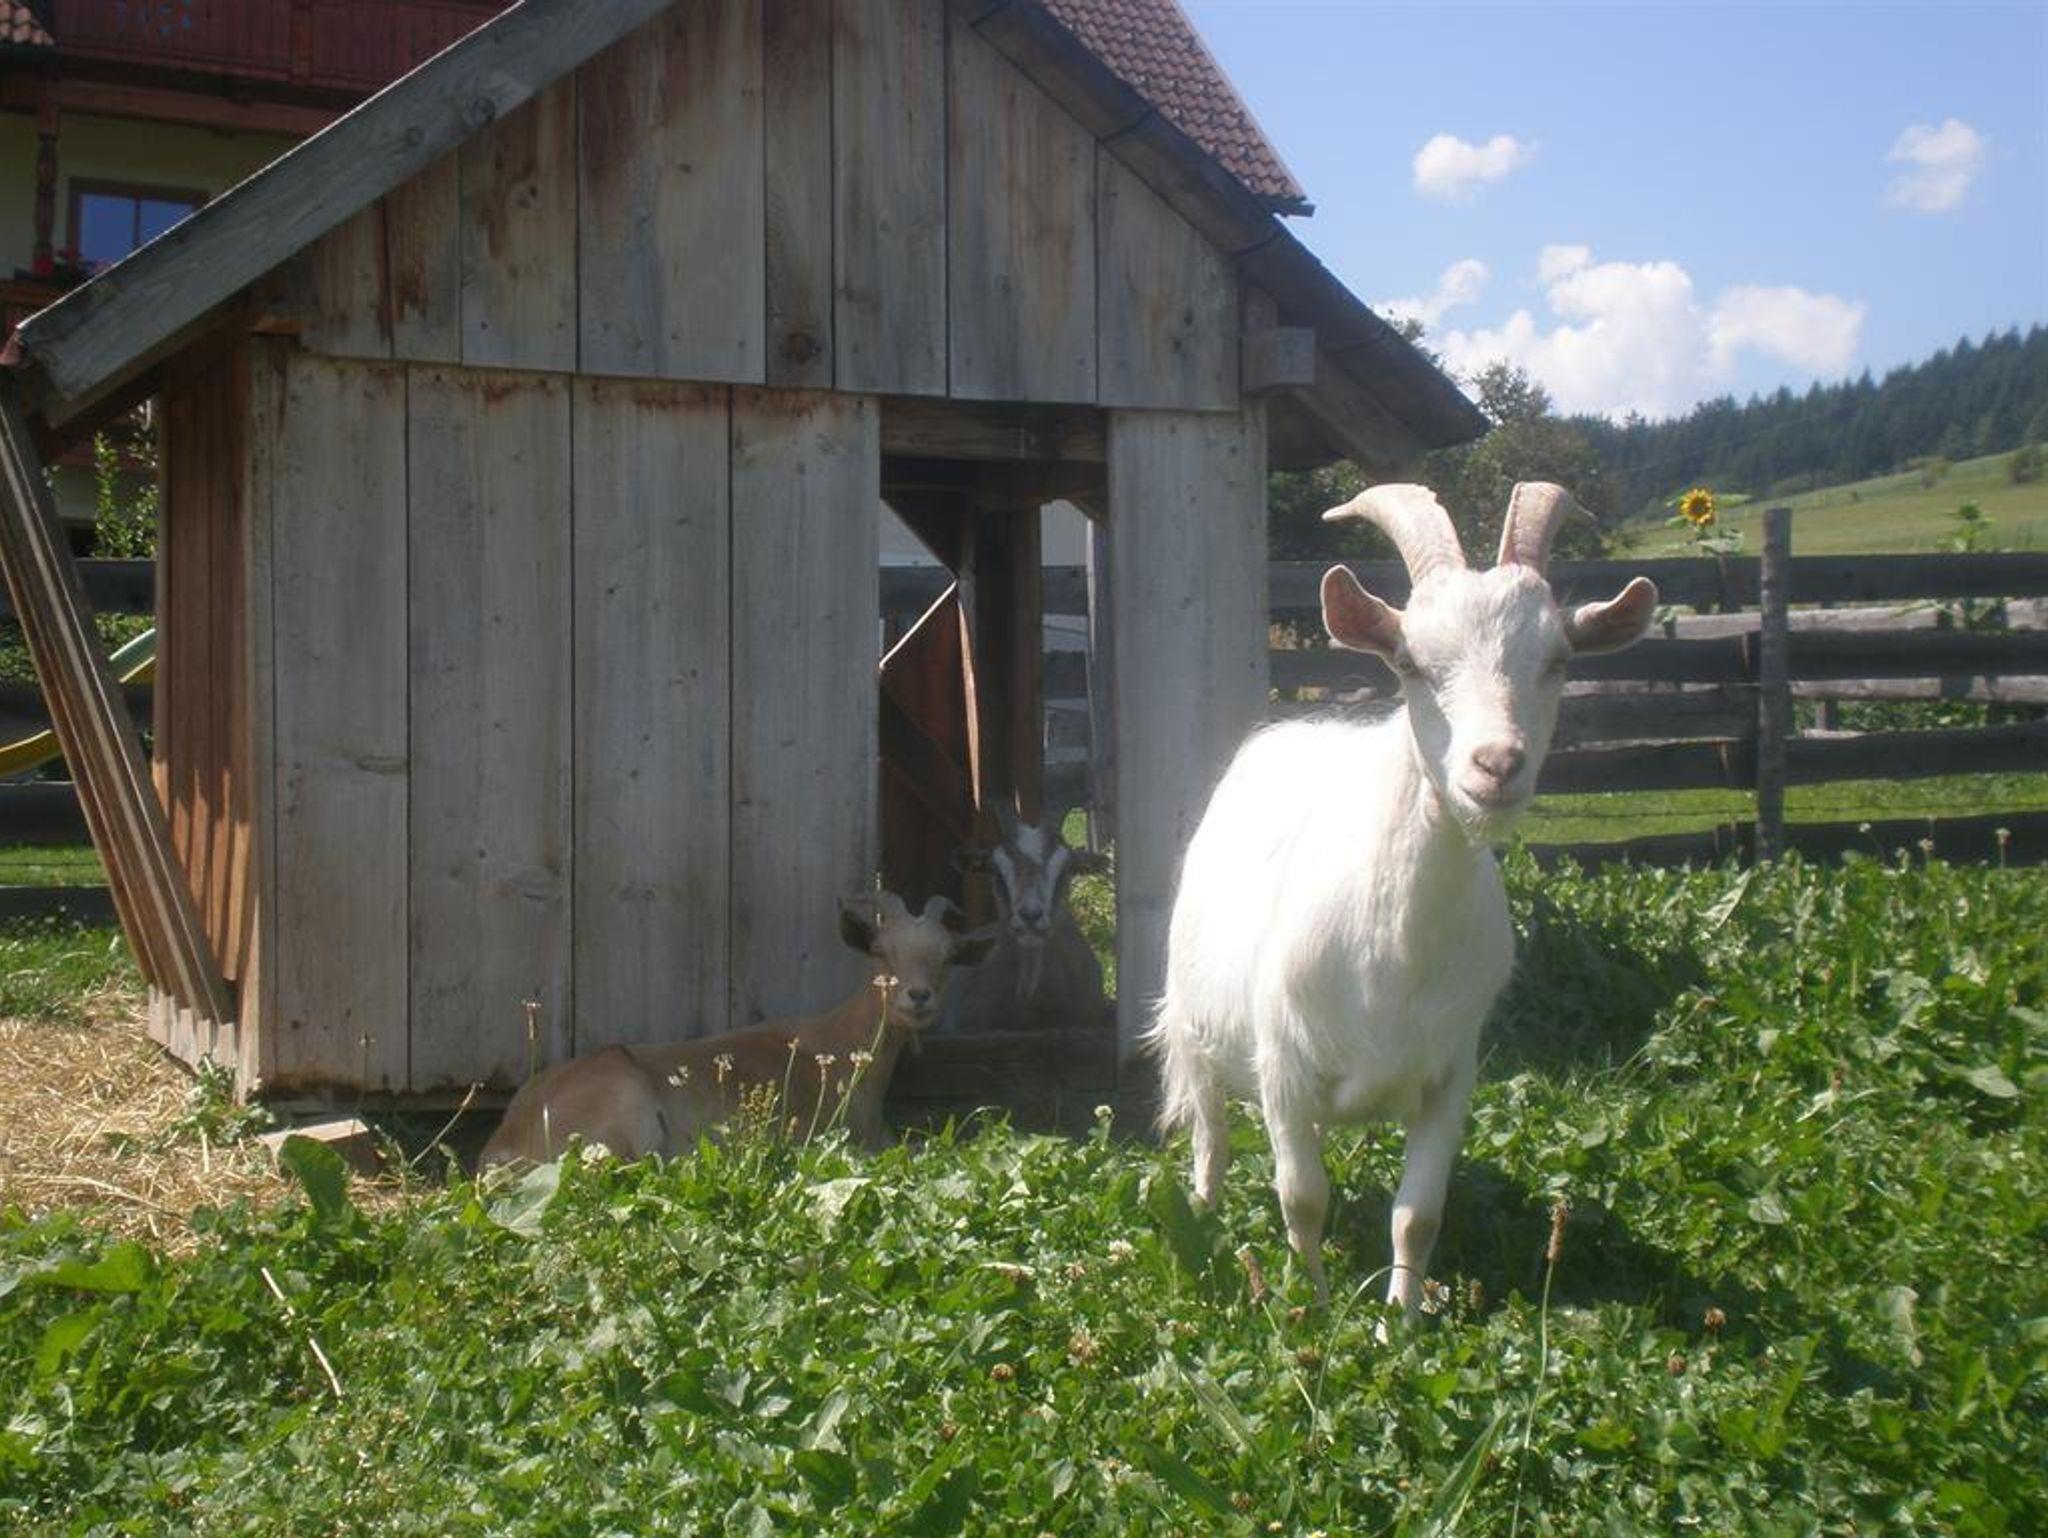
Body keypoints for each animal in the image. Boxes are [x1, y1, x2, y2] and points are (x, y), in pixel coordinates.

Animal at [479, 892, 998, 1168]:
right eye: (881, 953)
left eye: (948, 957)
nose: (918, 997)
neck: (844, 1049)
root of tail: (505, 1144)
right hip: (623, 1115)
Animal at [1147, 482, 1657, 1311]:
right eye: (1412, 661)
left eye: (1558, 659)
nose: (1497, 765)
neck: (1394, 948)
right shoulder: (1283, 1068)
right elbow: (1301, 1197)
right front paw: (1313, 1312)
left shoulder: (1451, 1074)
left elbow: (1418, 1214)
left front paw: (1401, 1319)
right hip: (1195, 1026)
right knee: (1210, 1133)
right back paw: (1202, 1212)